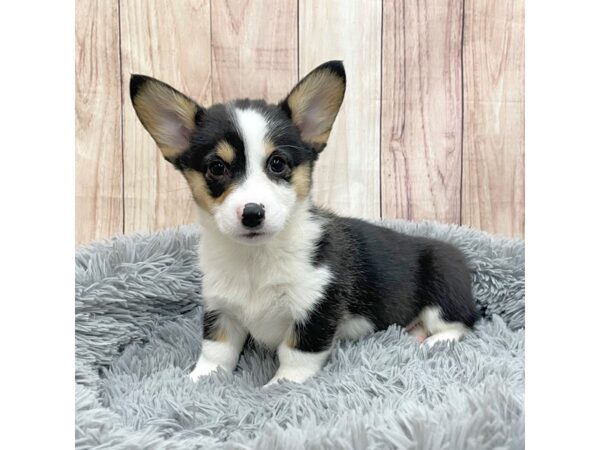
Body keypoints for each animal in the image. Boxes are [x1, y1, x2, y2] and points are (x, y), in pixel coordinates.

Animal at [131, 60, 478, 386]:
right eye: (217, 168)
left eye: (277, 163)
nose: (253, 213)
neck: (256, 259)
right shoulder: (221, 310)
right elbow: (216, 351)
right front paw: (198, 381)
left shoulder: (315, 308)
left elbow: (296, 354)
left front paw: (281, 387)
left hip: (442, 290)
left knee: (460, 325)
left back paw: (432, 342)